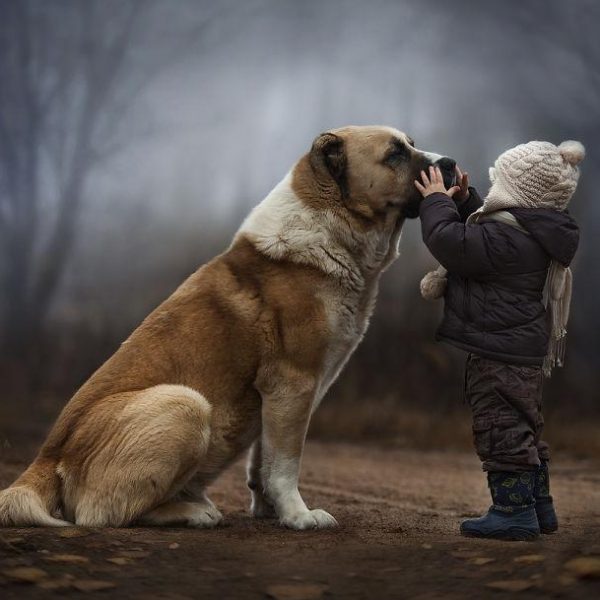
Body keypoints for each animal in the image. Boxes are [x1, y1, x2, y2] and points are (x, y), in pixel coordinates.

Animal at [0, 125, 452, 528]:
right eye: (394, 154)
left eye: (410, 144)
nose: (449, 163)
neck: (329, 228)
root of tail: (46, 458)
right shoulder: (294, 383)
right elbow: (285, 463)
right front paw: (299, 516)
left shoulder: (278, 397)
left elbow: (263, 461)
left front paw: (270, 511)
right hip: (185, 404)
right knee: (102, 514)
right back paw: (194, 512)